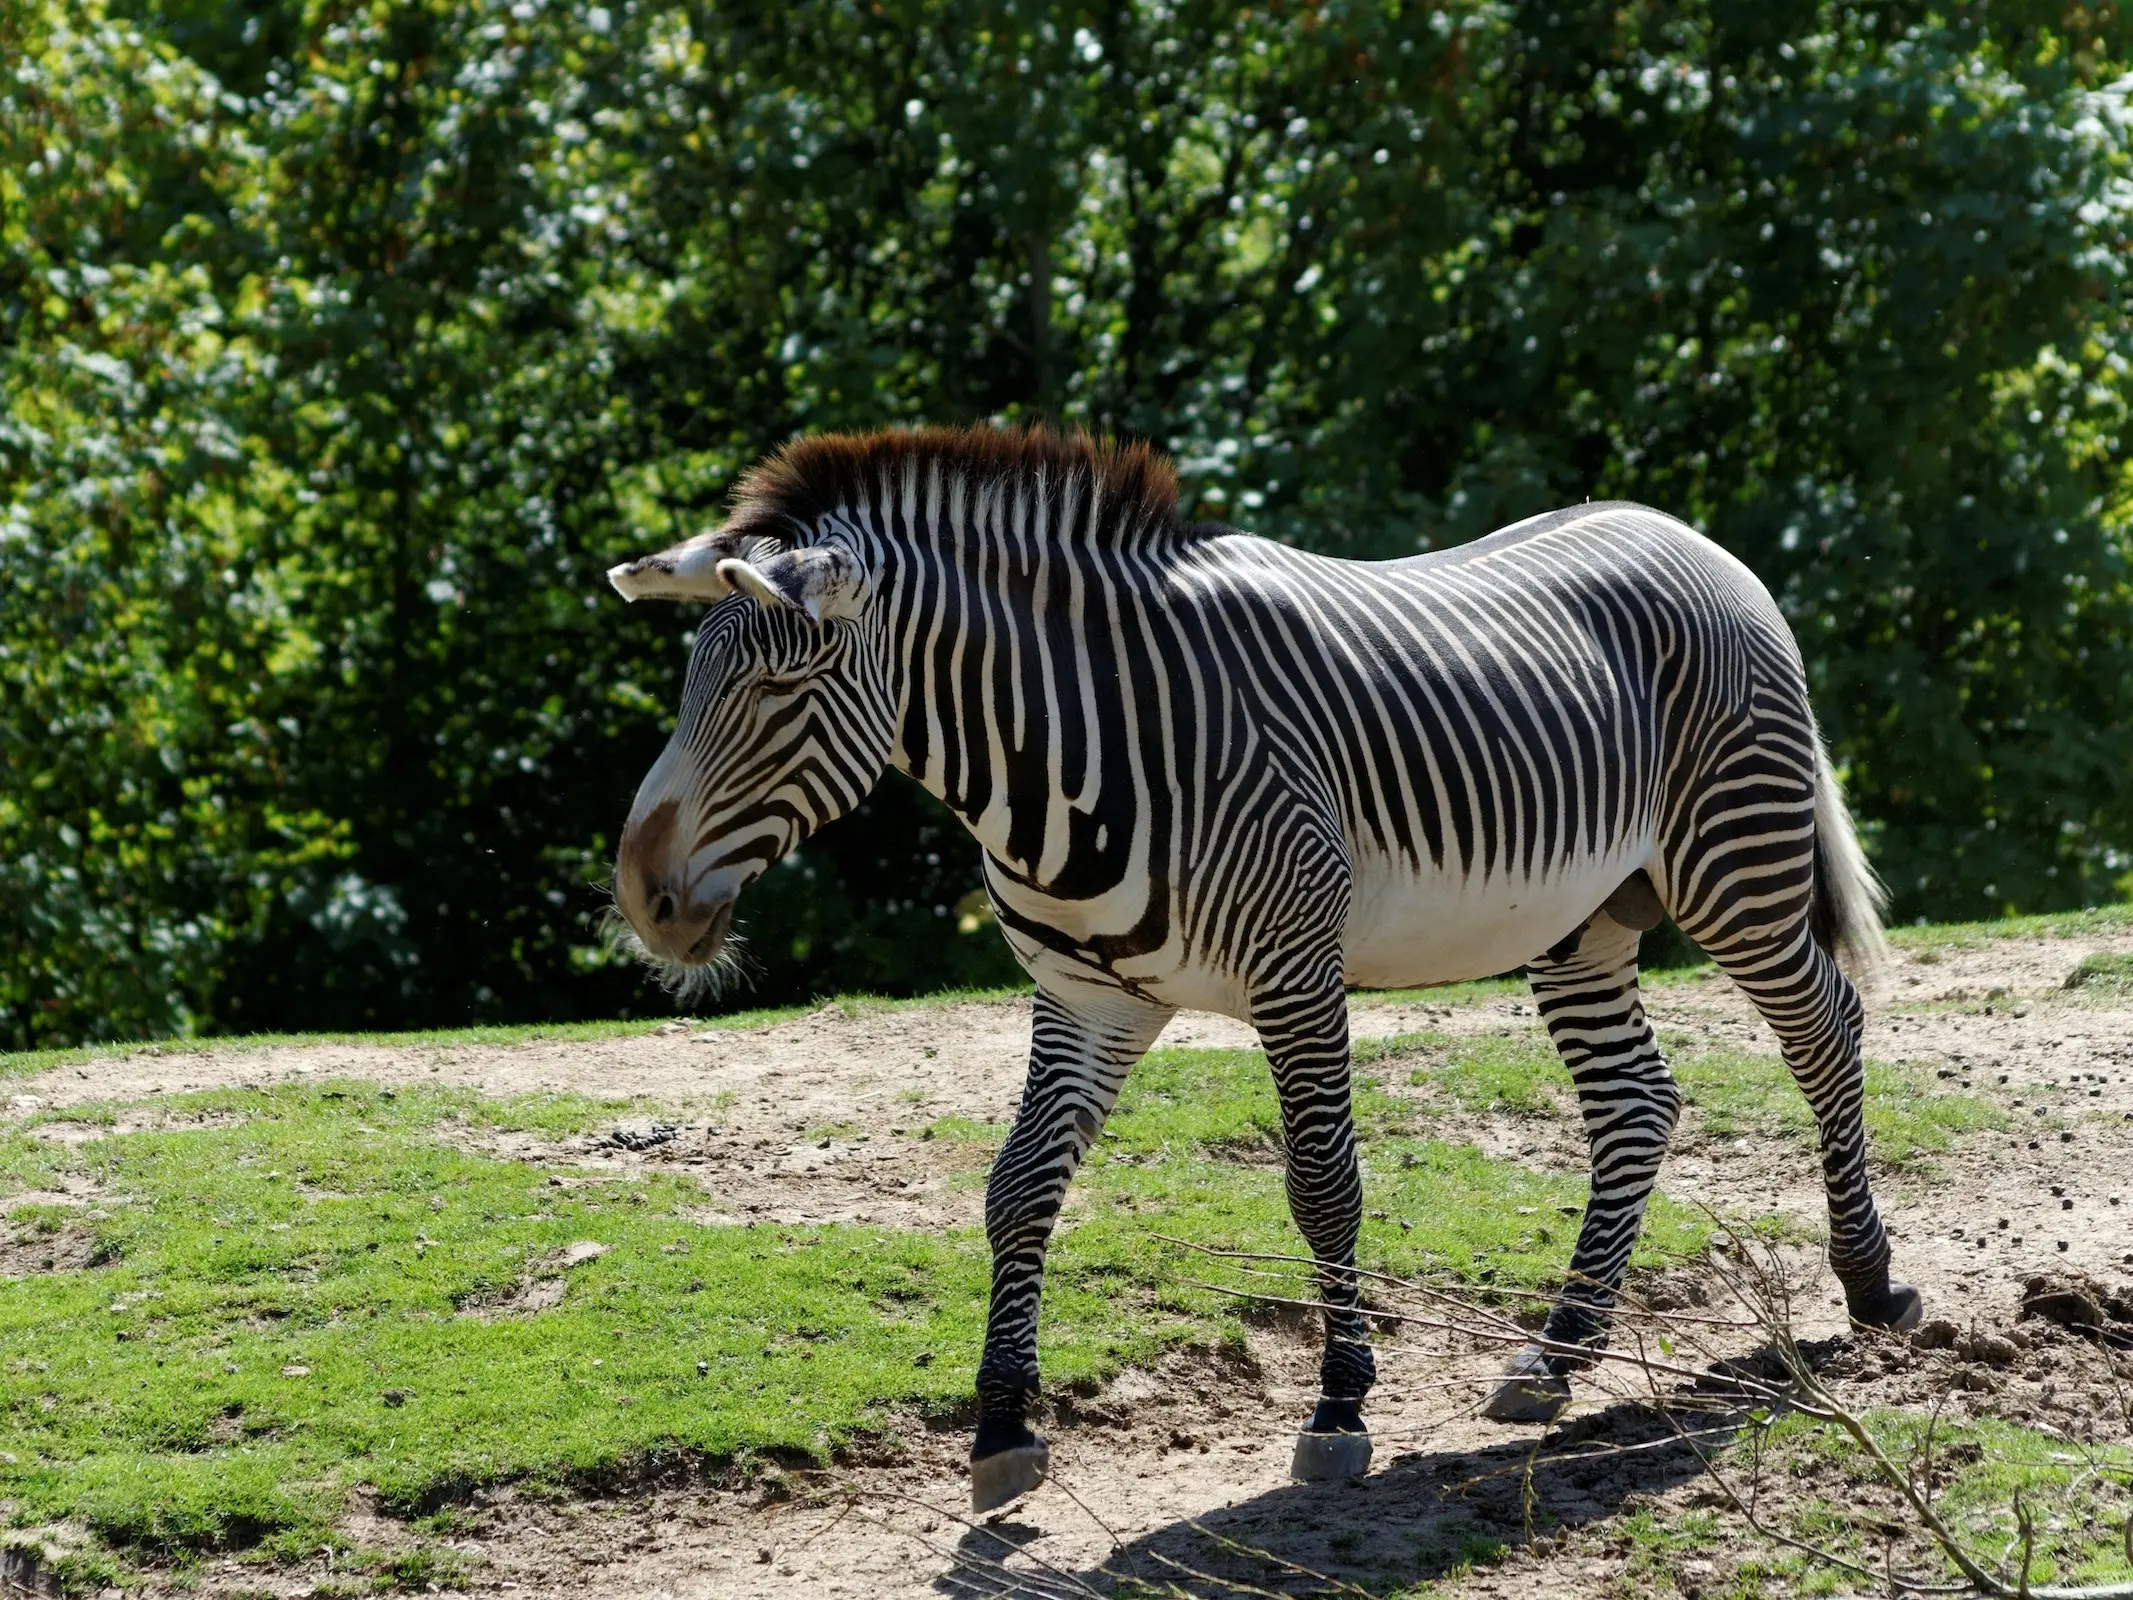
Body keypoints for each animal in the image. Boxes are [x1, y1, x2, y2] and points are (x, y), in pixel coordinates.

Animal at [610, 426, 1928, 1518]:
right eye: (691, 686)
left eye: (780, 688)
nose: (641, 898)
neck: (1066, 761)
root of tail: (1689, 534)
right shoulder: (1086, 996)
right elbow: (1019, 1190)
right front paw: (1002, 1430)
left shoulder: (1298, 973)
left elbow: (1324, 1186)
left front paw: (1339, 1406)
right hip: (1586, 916)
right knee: (1636, 1104)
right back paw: (1556, 1356)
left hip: (1733, 865)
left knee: (1826, 1028)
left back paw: (1869, 1285)